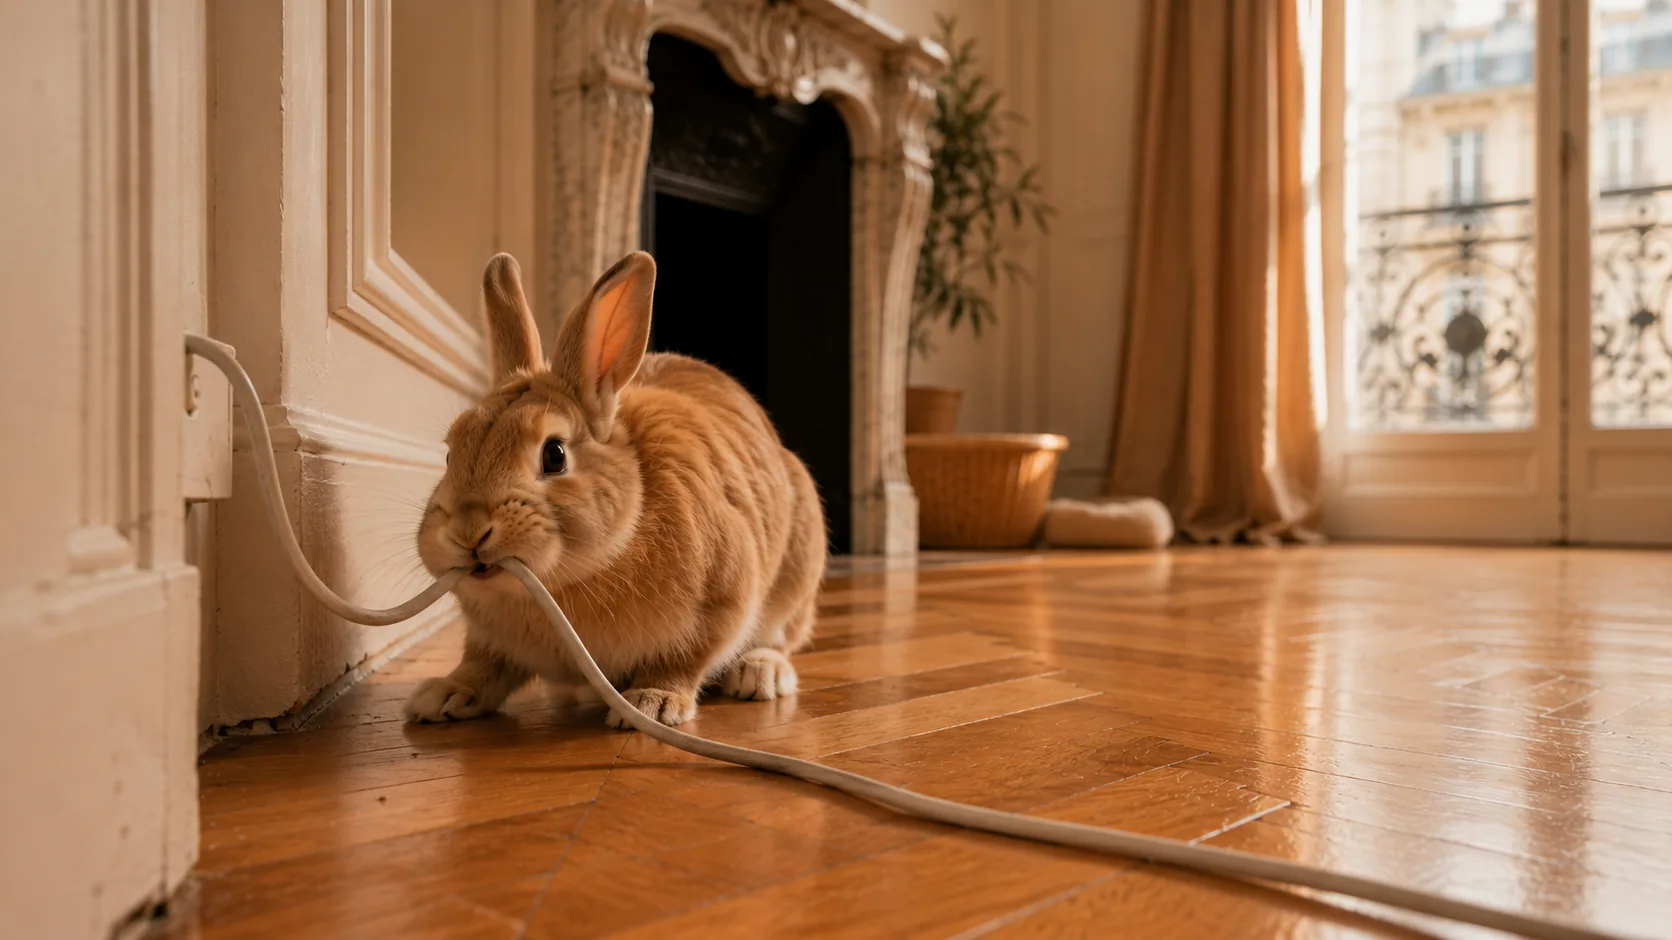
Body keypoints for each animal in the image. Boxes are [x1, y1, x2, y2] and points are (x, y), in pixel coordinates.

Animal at [406, 250, 827, 728]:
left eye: (554, 455)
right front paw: (443, 695)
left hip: (796, 576)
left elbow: (684, 659)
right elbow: (483, 665)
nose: (468, 532)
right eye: (450, 454)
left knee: (780, 638)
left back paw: (760, 673)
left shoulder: (721, 603)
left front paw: (652, 703)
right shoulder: (490, 641)